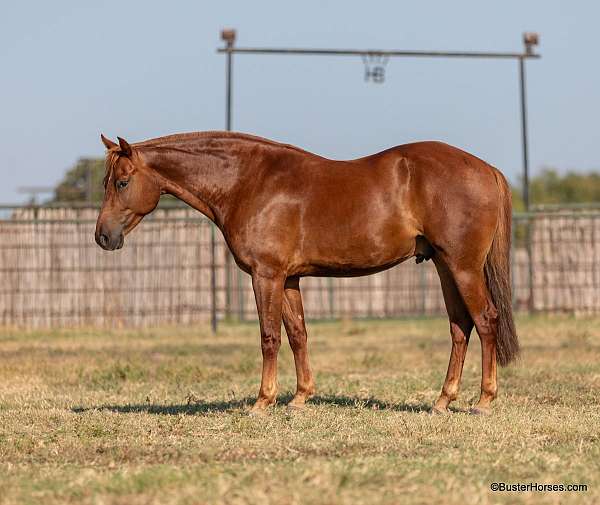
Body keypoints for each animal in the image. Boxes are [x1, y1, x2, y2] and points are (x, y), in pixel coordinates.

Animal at [96, 131, 516, 414]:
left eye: (122, 182)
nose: (103, 237)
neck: (250, 182)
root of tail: (487, 169)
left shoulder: (265, 275)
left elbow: (269, 337)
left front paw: (262, 401)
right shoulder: (289, 279)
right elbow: (298, 334)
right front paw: (300, 398)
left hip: (463, 268)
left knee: (486, 320)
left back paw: (484, 400)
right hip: (445, 267)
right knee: (460, 328)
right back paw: (442, 400)